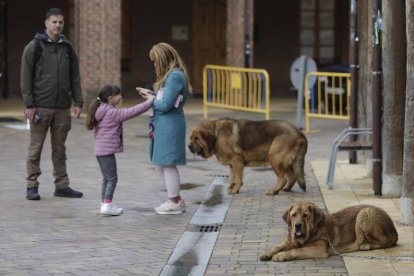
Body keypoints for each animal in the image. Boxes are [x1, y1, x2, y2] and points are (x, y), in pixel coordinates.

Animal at [260, 201, 400, 260]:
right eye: (293, 215)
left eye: (305, 215)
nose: (298, 225)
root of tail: (395, 231)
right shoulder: (288, 242)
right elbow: (277, 247)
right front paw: (267, 253)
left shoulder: (318, 249)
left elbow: (296, 250)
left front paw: (282, 255)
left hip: (364, 213)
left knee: (378, 241)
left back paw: (362, 246)